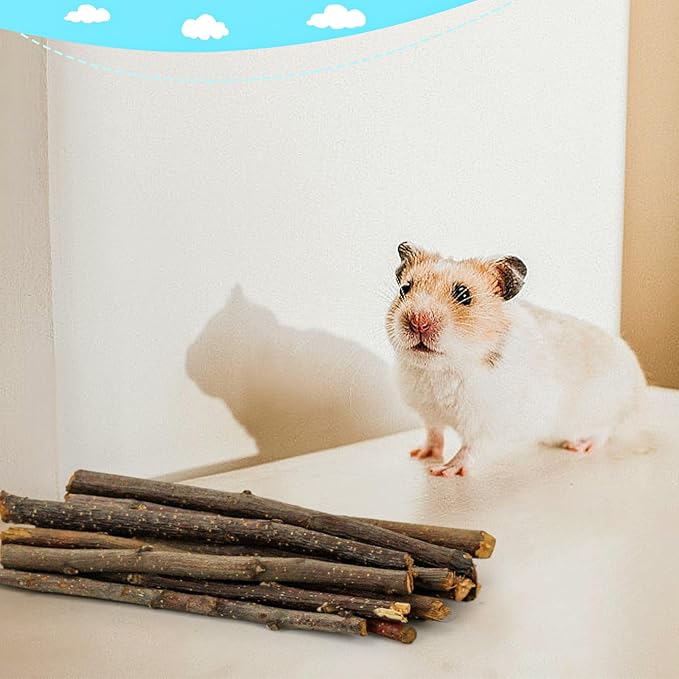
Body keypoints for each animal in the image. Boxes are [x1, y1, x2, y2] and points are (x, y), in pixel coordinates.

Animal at [385, 242, 647, 477]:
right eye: (404, 289)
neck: (441, 369)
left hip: (604, 408)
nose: (418, 321)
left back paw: (579, 445)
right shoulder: (428, 412)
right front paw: (421, 455)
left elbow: (470, 448)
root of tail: (638, 386)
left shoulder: (487, 423)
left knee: (605, 430)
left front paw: (443, 471)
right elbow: (433, 432)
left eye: (463, 295)